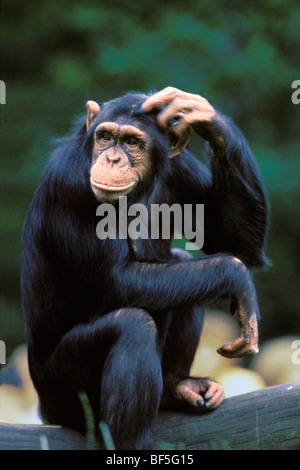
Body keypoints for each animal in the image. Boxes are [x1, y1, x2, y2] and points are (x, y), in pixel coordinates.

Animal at [21, 86, 270, 450]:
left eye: (133, 142)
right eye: (105, 137)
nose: (112, 159)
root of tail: (43, 408)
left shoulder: (182, 167)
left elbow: (233, 240)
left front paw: (203, 115)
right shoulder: (70, 184)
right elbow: (116, 282)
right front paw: (238, 278)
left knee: (184, 268)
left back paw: (177, 387)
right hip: (61, 392)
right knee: (133, 325)